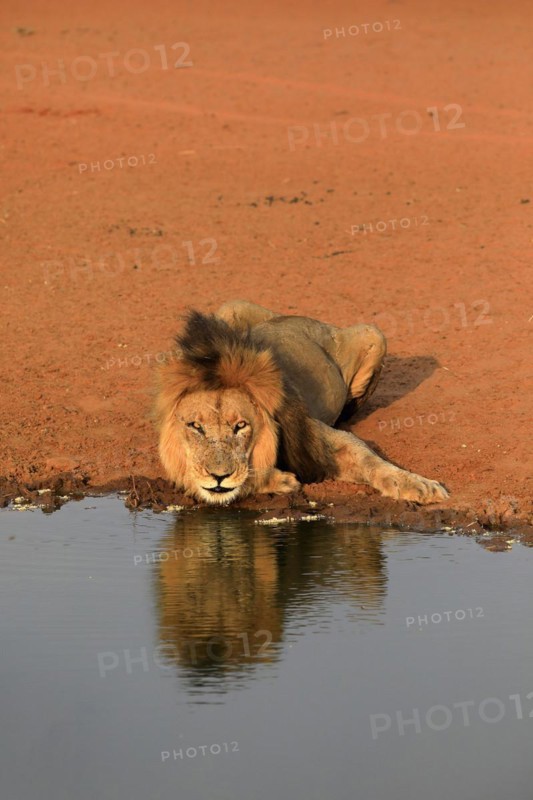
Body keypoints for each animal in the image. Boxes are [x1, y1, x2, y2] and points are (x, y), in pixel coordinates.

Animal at [154, 300, 449, 506]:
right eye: (196, 427)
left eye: (241, 426)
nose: (218, 476)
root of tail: (296, 317)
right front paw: (280, 481)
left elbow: (367, 458)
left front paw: (419, 485)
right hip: (228, 309)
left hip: (373, 334)